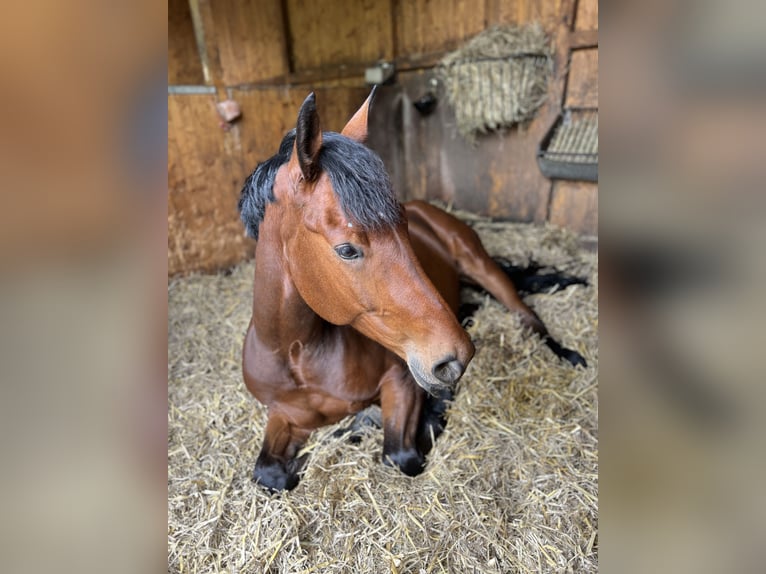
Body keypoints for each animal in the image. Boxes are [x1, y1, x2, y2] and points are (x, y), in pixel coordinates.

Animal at [237, 89, 584, 490]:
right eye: (347, 249)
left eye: (404, 230)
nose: (456, 358)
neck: (295, 354)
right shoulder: (282, 414)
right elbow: (267, 473)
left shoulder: (403, 380)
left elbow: (400, 454)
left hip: (484, 269)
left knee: (529, 319)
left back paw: (568, 354)